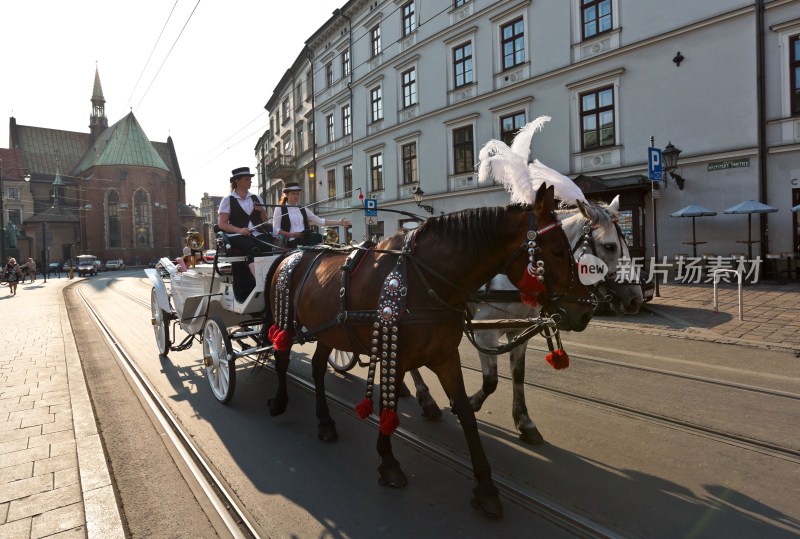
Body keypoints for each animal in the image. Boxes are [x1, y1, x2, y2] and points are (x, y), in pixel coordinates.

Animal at [266, 186, 592, 520]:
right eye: (557, 251)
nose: (586, 311)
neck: (424, 278)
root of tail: (291, 254)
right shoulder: (398, 355)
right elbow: (389, 405)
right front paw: (389, 463)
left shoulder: (446, 356)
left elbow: (466, 412)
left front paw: (485, 486)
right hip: (287, 324)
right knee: (281, 358)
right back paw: (280, 401)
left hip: (328, 332)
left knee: (318, 368)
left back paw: (325, 422)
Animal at [406, 196, 644, 446]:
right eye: (609, 246)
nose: (635, 299)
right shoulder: (485, 333)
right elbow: (491, 381)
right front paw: (469, 403)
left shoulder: (518, 332)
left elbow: (518, 376)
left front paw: (524, 422)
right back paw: (426, 398)